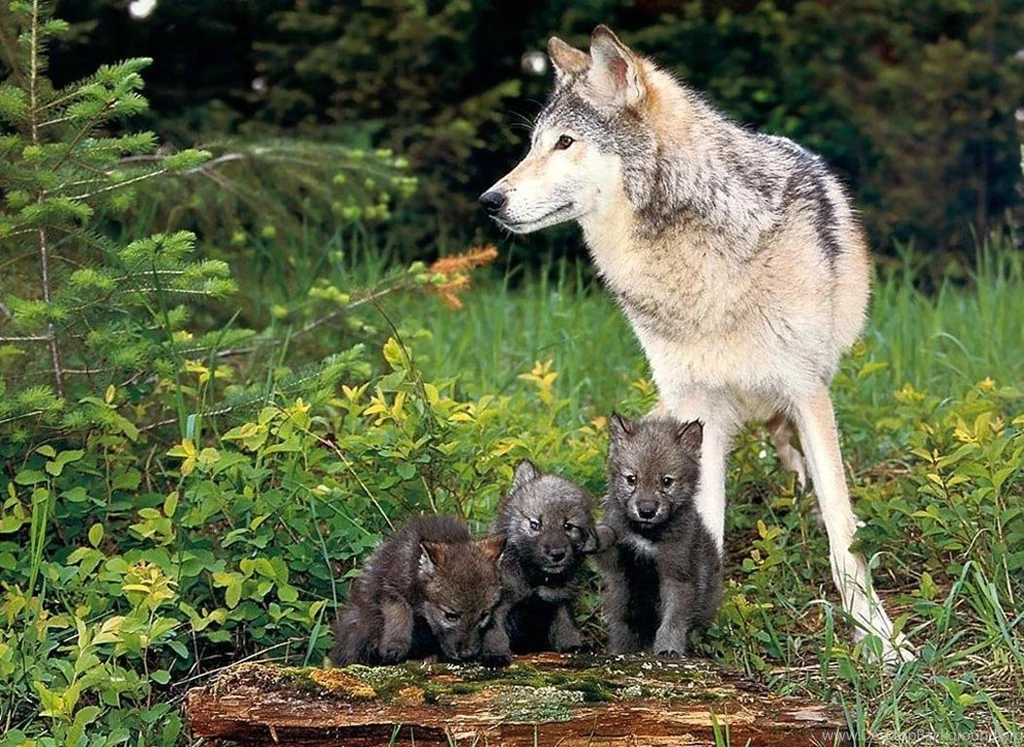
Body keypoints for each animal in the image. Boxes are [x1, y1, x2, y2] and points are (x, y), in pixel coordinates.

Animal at [329, 514, 505, 665]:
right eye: (450, 616)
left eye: (483, 616)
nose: (467, 655)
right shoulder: (389, 589)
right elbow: (401, 611)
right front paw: (395, 645)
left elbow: (494, 625)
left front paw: (494, 653)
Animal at [481, 461, 597, 665]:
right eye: (535, 524)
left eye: (568, 526)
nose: (557, 554)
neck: (536, 578)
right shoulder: (500, 604)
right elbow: (495, 632)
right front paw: (494, 655)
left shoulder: (559, 601)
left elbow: (566, 628)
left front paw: (575, 646)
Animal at [597, 414, 722, 656]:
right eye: (631, 479)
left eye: (666, 481)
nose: (646, 511)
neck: (647, 534)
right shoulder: (618, 565)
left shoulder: (677, 574)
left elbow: (673, 618)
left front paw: (668, 649)